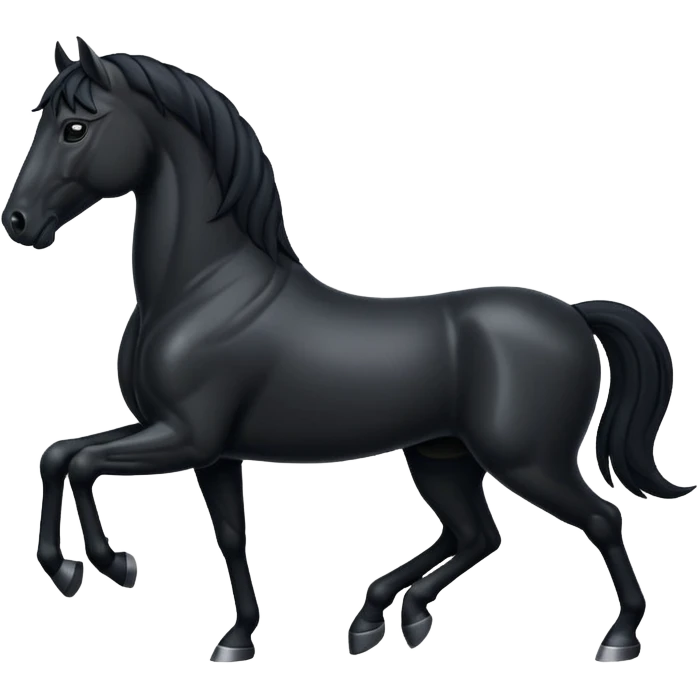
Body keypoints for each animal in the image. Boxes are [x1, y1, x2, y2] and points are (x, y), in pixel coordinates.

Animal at [4, 37, 692, 665]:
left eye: (74, 128)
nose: (18, 222)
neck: (203, 291)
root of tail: (572, 313)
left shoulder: (185, 437)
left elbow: (80, 464)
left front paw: (107, 565)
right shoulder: (205, 450)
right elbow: (114, 481)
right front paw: (235, 636)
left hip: (528, 461)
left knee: (596, 520)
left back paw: (618, 638)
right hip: (442, 458)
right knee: (475, 535)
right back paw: (386, 618)